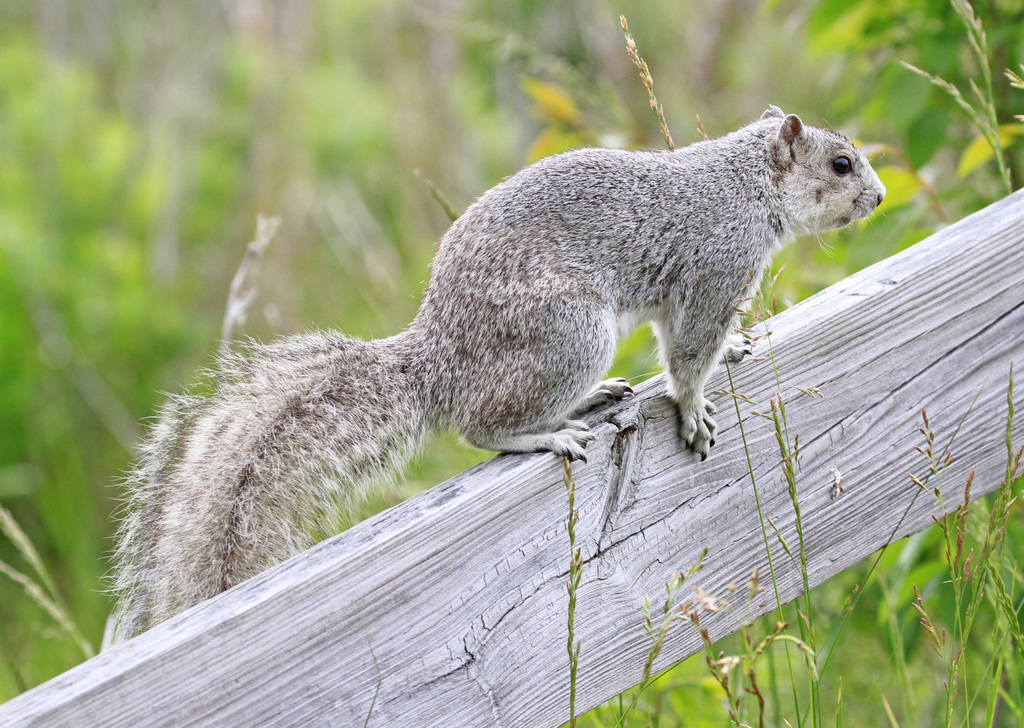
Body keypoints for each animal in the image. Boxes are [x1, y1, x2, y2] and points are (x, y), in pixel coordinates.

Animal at [109, 106, 885, 641]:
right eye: (842, 164)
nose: (878, 198)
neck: (744, 185)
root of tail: (438, 362)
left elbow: (694, 346)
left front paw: (733, 352)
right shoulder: (714, 271)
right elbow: (688, 357)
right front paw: (695, 411)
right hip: (569, 332)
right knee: (479, 426)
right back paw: (545, 433)